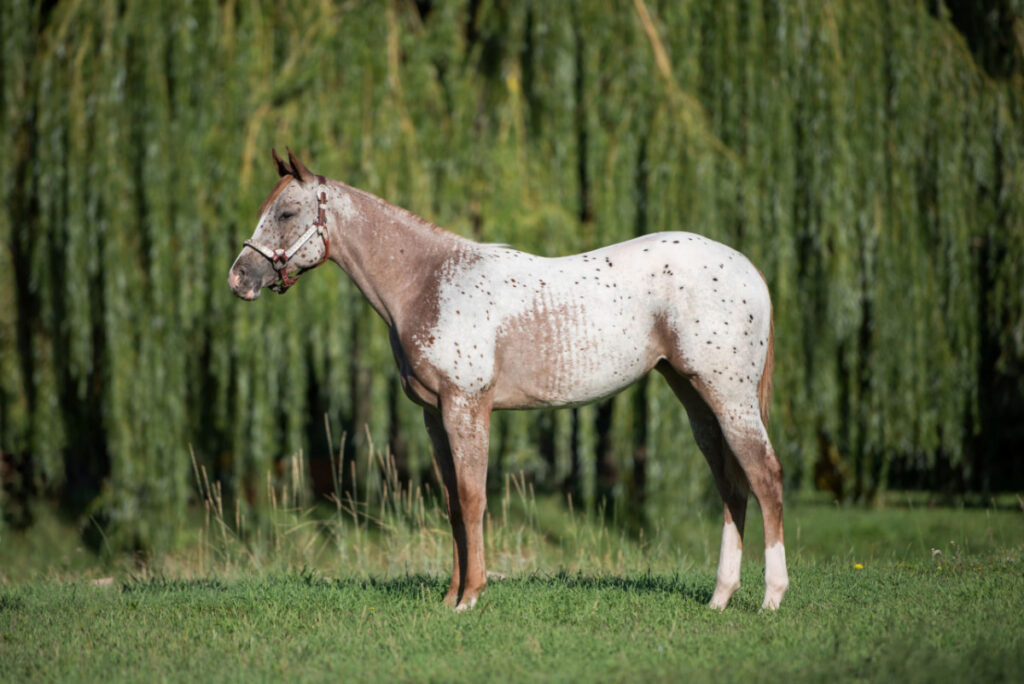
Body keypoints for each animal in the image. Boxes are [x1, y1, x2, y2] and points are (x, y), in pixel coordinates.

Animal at [228, 148, 790, 610]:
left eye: (286, 212)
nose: (238, 279)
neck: (429, 282)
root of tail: (748, 269)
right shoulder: (435, 416)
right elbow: (453, 504)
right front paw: (450, 597)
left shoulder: (467, 406)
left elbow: (473, 497)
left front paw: (471, 597)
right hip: (694, 397)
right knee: (731, 484)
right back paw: (719, 599)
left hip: (729, 396)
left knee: (764, 477)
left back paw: (771, 598)